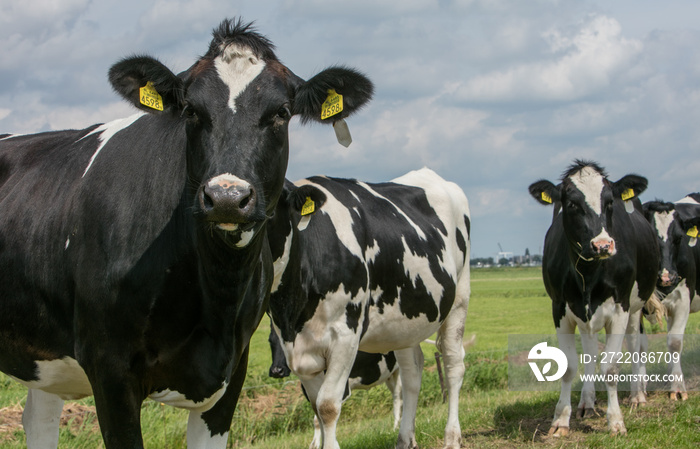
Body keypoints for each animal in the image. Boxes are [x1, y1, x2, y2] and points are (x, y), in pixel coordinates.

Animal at [0, 18, 374, 448]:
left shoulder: (233, 370)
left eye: (281, 112)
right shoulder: (109, 369)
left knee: (39, 420)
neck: (214, 292)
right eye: (191, 111)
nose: (227, 197)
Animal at [266, 324, 400, 446]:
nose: (276, 371)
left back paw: (396, 428)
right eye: (270, 341)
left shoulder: (343, 390)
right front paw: (315, 445)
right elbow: (317, 419)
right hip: (391, 375)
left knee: (398, 398)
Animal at [532, 160, 660, 434]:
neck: (589, 272)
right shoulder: (560, 308)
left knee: (636, 345)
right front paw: (561, 419)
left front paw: (616, 421)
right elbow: (570, 365)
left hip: (635, 306)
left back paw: (637, 396)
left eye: (610, 202)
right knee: (590, 350)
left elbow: (610, 366)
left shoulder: (621, 307)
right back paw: (587, 403)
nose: (602, 245)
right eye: (571, 204)